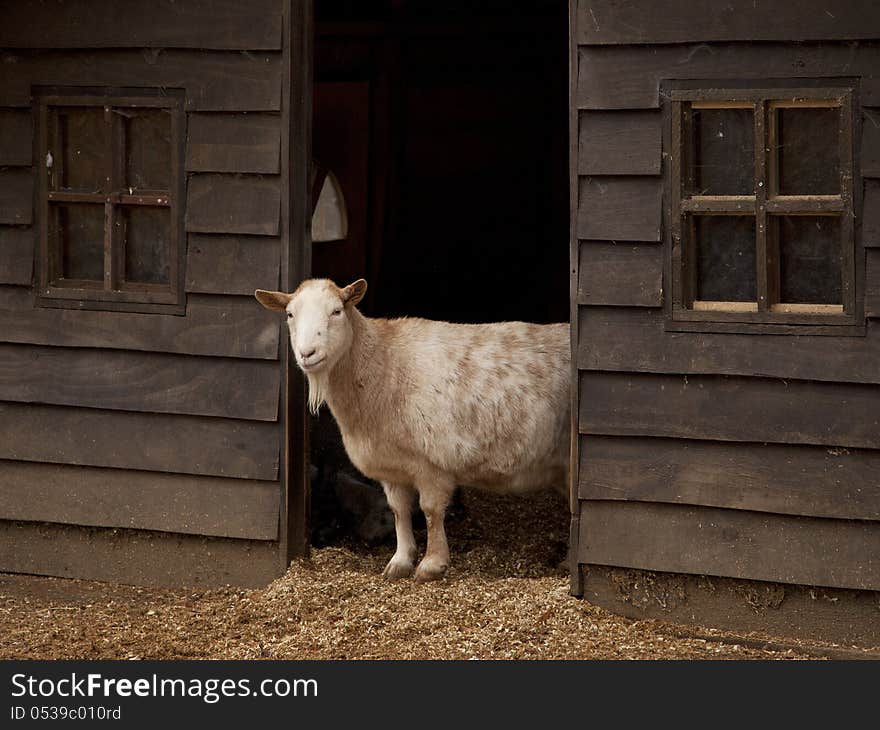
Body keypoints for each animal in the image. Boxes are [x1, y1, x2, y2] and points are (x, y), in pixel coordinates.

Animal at [254, 278, 572, 580]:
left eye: (336, 312)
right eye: (290, 314)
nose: (307, 353)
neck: (383, 363)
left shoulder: (432, 462)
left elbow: (431, 512)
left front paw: (432, 564)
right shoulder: (392, 466)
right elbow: (399, 511)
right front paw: (400, 560)